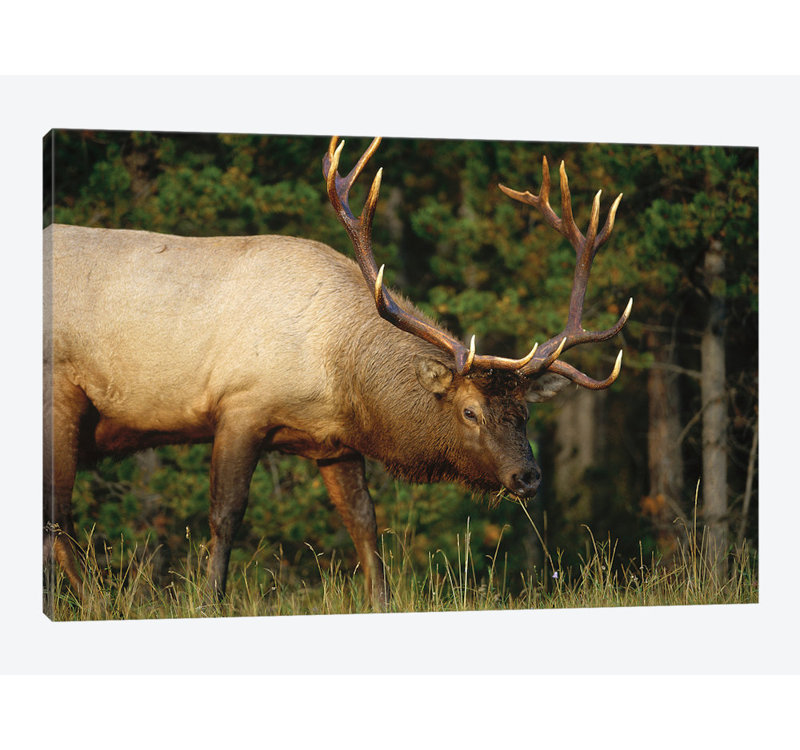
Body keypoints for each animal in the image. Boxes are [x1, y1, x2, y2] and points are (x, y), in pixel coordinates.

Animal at [43, 136, 632, 611]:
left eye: (525, 411)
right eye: (470, 411)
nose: (528, 476)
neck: (336, 373)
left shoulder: (333, 443)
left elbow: (365, 524)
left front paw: (381, 600)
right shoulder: (240, 406)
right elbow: (225, 514)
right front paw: (209, 600)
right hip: (62, 392)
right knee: (59, 514)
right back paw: (97, 603)